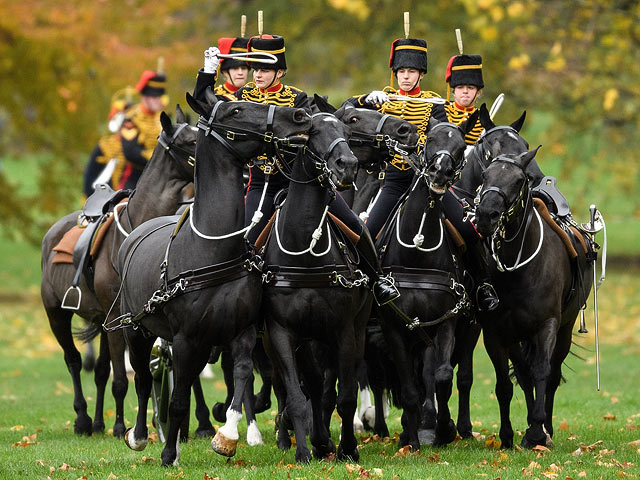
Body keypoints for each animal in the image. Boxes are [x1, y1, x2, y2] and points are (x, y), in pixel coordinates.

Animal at [40, 108, 195, 438]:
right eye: (190, 140)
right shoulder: (119, 320)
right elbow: (122, 379)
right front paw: (122, 426)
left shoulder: (130, 319)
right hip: (57, 314)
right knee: (73, 360)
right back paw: (83, 419)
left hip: (101, 321)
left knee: (99, 371)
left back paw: (98, 422)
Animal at [117, 93, 312, 464]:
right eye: (236, 110)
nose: (299, 116)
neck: (211, 249)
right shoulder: (184, 339)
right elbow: (177, 398)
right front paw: (168, 454)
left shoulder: (241, 332)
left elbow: (242, 376)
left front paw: (228, 436)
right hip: (137, 330)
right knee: (144, 379)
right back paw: (139, 435)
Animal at [476, 145, 596, 446]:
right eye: (484, 175)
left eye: (519, 180)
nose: (486, 215)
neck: (519, 268)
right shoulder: (495, 333)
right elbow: (505, 384)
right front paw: (508, 436)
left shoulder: (547, 325)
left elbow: (543, 370)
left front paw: (537, 433)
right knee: (523, 373)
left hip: (565, 328)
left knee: (550, 375)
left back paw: (546, 427)